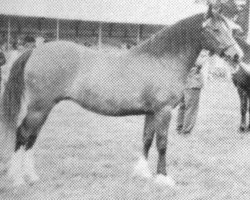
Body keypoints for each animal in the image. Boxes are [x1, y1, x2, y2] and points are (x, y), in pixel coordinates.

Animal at [0, 4, 242, 187]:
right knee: (23, 134)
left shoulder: (151, 112)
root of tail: (35, 50)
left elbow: (147, 139)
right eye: (215, 29)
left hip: (44, 108)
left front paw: (142, 173)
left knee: (31, 138)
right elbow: (162, 143)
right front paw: (163, 178)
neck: (162, 60)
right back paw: (18, 179)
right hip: (39, 108)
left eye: (230, 29)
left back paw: (31, 177)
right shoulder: (163, 111)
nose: (237, 56)